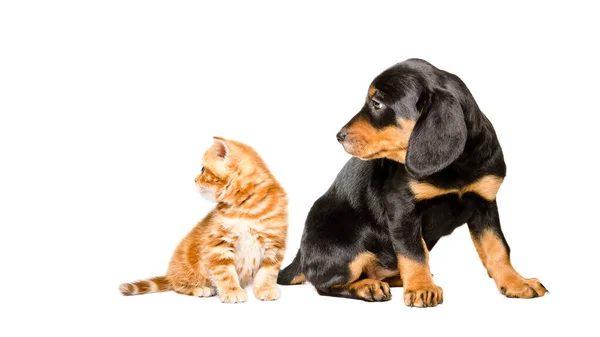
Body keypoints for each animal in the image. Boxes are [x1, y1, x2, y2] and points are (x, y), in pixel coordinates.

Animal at [120, 136, 288, 302]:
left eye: (202, 170)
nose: (194, 180)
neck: (245, 208)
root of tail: (169, 274)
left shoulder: (274, 243)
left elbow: (268, 271)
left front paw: (265, 288)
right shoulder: (218, 244)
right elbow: (225, 272)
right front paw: (232, 291)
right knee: (177, 285)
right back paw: (199, 288)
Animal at [278, 58, 548, 308]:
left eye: (377, 104)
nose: (339, 136)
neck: (455, 167)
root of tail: (301, 256)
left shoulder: (485, 203)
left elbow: (497, 248)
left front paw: (516, 282)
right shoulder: (401, 207)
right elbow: (414, 252)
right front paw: (421, 288)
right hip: (348, 247)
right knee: (323, 282)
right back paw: (369, 286)